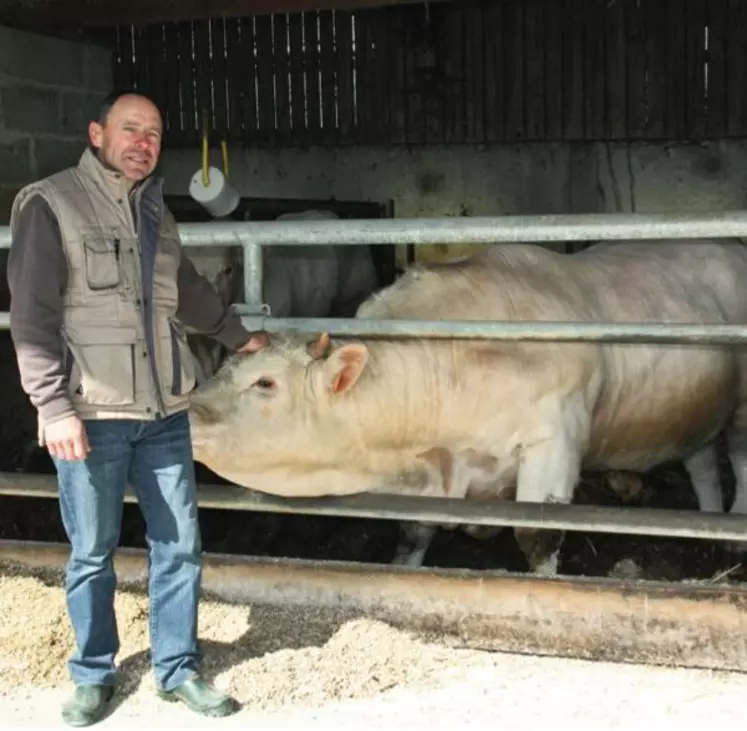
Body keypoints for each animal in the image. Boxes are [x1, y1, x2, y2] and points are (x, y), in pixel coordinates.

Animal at [184, 237, 747, 576]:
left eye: (265, 383)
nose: (187, 411)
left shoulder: (554, 441)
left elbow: (537, 536)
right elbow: (414, 531)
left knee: (737, 458)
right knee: (702, 462)